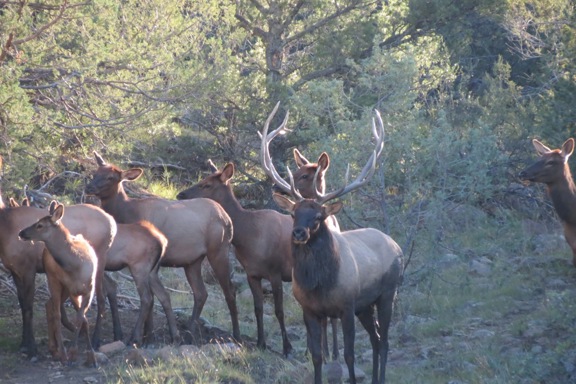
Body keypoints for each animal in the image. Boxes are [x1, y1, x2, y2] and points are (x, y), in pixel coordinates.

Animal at [18, 202, 98, 368]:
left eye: (40, 225)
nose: (21, 233)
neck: (76, 265)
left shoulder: (88, 290)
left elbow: (82, 319)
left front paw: (90, 356)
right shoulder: (70, 288)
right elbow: (73, 317)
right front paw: (70, 354)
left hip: (65, 290)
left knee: (50, 305)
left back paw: (55, 350)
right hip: (54, 280)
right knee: (53, 310)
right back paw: (58, 351)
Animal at [84, 153, 240, 342]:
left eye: (111, 178)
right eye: (96, 172)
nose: (89, 187)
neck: (126, 213)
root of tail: (227, 218)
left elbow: (151, 298)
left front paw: (146, 335)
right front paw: (148, 334)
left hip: (218, 251)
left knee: (229, 291)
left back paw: (236, 335)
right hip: (193, 261)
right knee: (201, 293)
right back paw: (189, 331)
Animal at [262, 105, 402, 384]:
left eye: (318, 216)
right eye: (293, 213)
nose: (299, 233)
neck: (319, 285)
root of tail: (396, 246)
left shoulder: (347, 306)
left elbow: (348, 355)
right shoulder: (310, 310)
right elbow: (317, 356)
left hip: (387, 293)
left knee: (384, 341)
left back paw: (380, 377)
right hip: (365, 305)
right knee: (375, 338)